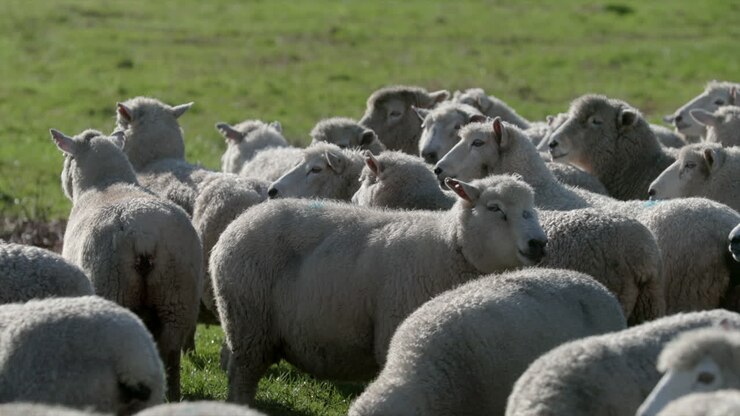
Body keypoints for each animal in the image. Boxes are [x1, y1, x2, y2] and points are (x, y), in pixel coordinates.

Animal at [50, 129, 202, 401]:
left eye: (67, 157)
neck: (108, 184)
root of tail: (142, 234)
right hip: (177, 296)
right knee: (170, 349)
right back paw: (171, 396)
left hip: (115, 288)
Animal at [211, 174, 547, 403]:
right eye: (495, 208)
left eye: (531, 208)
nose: (538, 243)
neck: (449, 245)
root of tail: (240, 221)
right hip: (249, 323)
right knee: (242, 377)